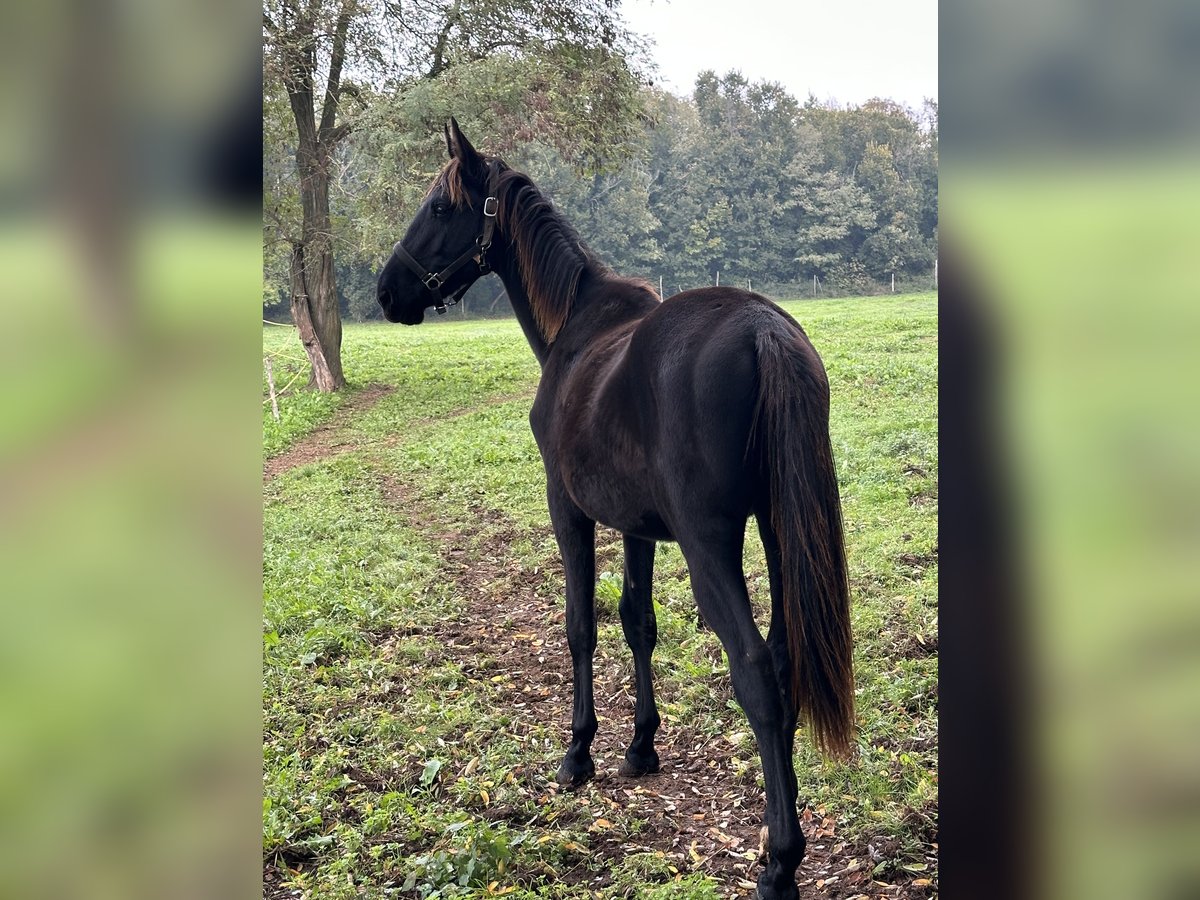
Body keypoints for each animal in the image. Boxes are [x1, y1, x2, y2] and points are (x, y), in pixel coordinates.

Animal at [374, 120, 854, 900]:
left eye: (440, 207)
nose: (388, 290)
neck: (577, 330)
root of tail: (762, 328)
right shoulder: (637, 528)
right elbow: (638, 624)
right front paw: (640, 746)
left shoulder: (568, 509)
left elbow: (580, 627)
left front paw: (579, 753)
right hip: (783, 536)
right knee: (783, 665)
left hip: (712, 548)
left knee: (756, 670)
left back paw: (780, 860)